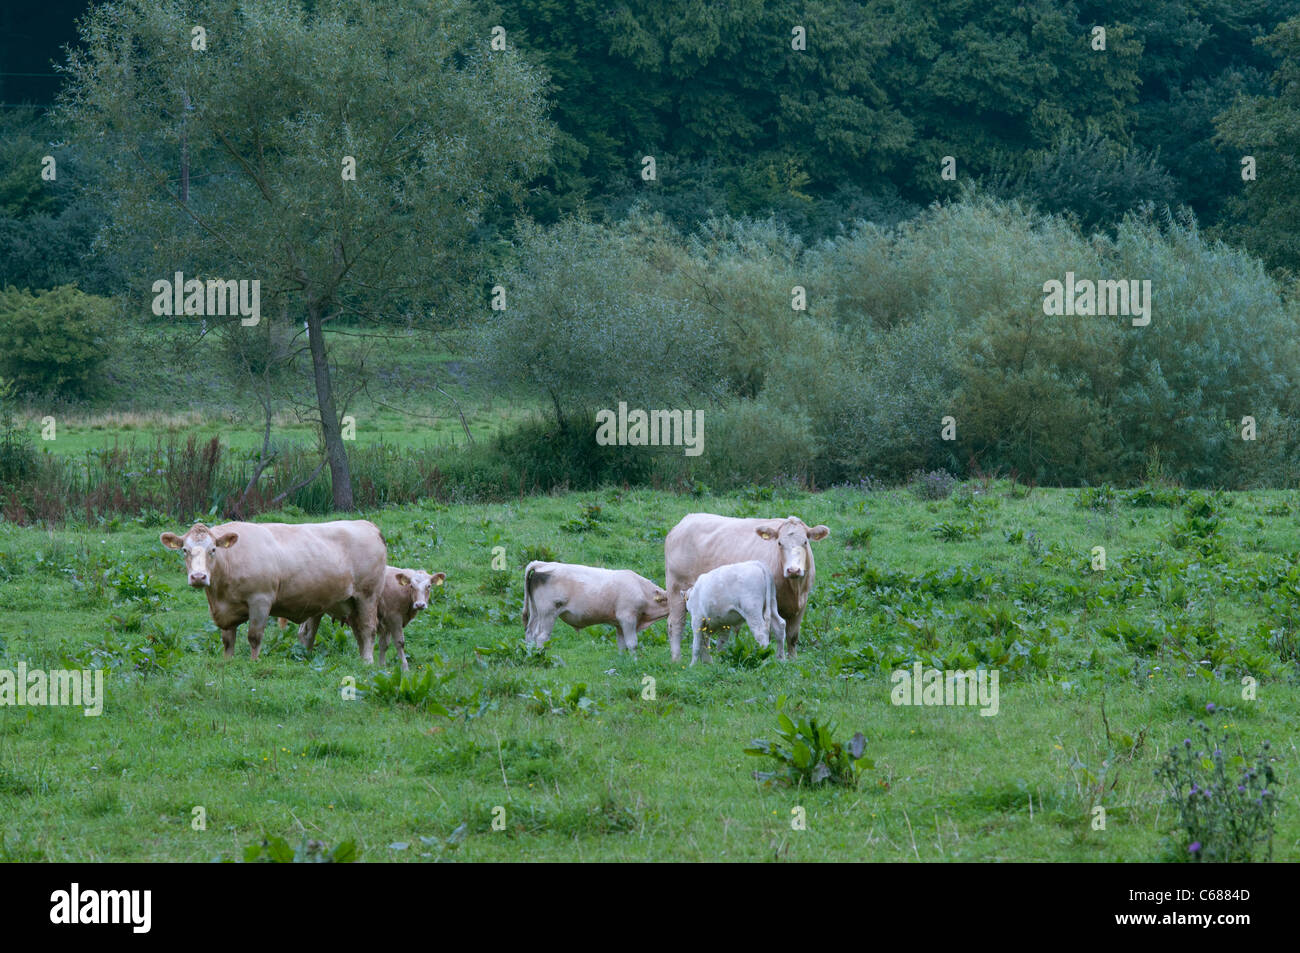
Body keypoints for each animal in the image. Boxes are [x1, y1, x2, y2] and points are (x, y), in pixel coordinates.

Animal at [159, 520, 387, 662]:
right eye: (185, 550)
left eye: (213, 550)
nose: (198, 577)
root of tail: (368, 525)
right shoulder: (225, 611)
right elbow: (227, 640)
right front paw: (227, 661)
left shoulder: (260, 600)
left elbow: (254, 636)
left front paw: (254, 662)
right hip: (346, 602)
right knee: (351, 631)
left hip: (368, 595)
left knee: (367, 629)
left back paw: (367, 662)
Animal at [294, 566, 446, 671]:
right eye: (412, 586)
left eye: (429, 586)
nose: (420, 604)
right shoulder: (394, 618)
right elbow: (399, 642)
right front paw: (405, 668)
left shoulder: (386, 622)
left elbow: (384, 644)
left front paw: (382, 666)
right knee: (308, 633)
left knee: (303, 632)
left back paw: (303, 654)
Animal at [522, 561, 669, 653]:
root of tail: (543, 564)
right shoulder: (627, 618)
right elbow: (632, 644)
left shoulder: (619, 623)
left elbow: (621, 645)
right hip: (548, 613)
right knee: (541, 636)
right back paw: (541, 655)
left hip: (535, 611)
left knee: (530, 633)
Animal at [665, 514, 830, 662]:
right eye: (779, 543)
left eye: (805, 542)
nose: (793, 570)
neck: (794, 589)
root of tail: (686, 520)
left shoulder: (801, 604)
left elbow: (792, 636)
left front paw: (792, 660)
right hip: (676, 588)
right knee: (676, 624)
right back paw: (676, 659)